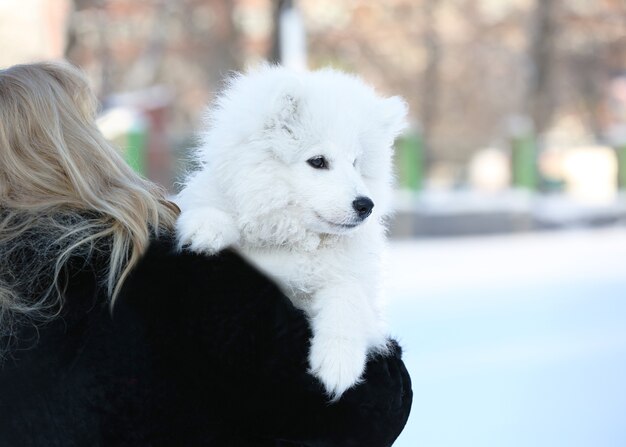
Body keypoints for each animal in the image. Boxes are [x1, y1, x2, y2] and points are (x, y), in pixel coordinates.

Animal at [174, 65, 404, 400]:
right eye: (318, 161)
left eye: (356, 163)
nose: (365, 205)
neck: (293, 240)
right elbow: (215, 209)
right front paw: (207, 227)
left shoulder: (355, 294)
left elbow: (346, 293)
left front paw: (338, 362)